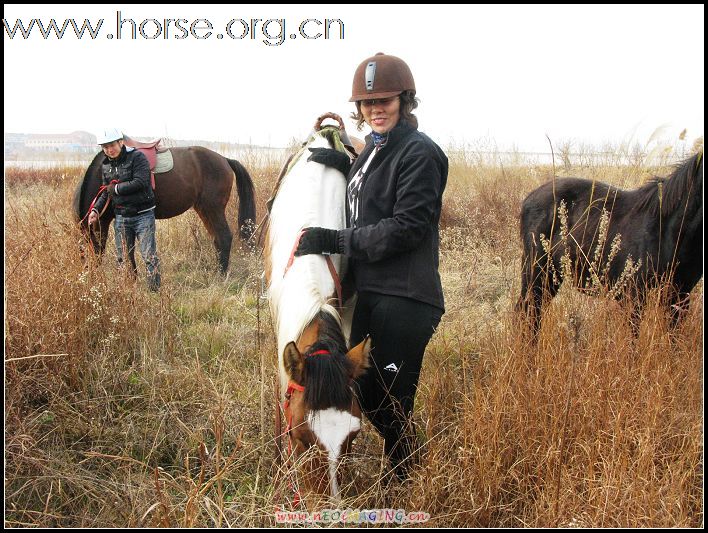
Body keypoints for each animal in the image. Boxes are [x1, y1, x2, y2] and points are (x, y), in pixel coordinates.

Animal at [73, 144, 256, 272]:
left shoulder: (105, 222)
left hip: (213, 209)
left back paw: (221, 275)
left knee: (224, 237)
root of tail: (225, 159)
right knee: (218, 239)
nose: (88, 276)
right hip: (204, 210)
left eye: (86, 252)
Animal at [516, 148, 704, 334]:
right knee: (527, 313)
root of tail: (529, 198)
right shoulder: (635, 297)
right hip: (536, 273)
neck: (669, 230)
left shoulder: (680, 297)